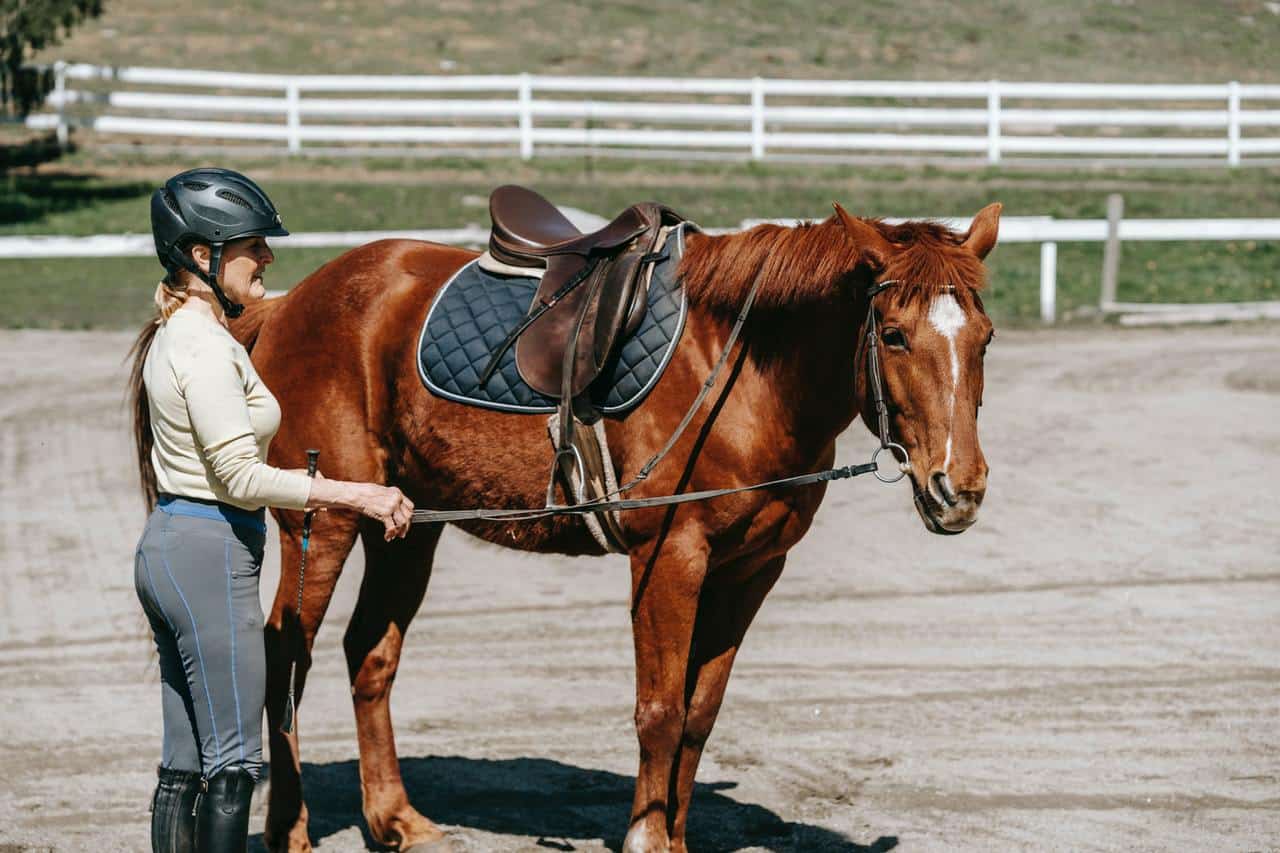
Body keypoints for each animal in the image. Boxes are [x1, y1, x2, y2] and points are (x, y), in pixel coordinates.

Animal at [235, 201, 1003, 850]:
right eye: (895, 336)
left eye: (986, 338)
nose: (957, 488)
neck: (740, 371)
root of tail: (290, 302)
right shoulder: (670, 558)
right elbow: (659, 710)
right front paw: (646, 839)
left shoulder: (751, 570)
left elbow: (699, 712)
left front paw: (676, 837)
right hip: (321, 522)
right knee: (285, 655)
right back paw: (291, 829)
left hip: (407, 525)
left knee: (370, 654)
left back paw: (397, 819)